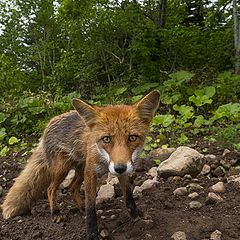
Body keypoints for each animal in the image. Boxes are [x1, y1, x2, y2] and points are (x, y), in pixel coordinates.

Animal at [1, 90, 160, 240]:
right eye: (106, 139)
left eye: (132, 138)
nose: (119, 168)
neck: (103, 158)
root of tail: (49, 124)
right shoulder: (91, 173)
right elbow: (91, 207)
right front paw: (92, 233)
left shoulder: (123, 170)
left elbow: (128, 197)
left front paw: (136, 216)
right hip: (62, 170)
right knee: (51, 189)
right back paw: (56, 213)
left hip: (80, 171)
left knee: (72, 188)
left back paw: (79, 206)